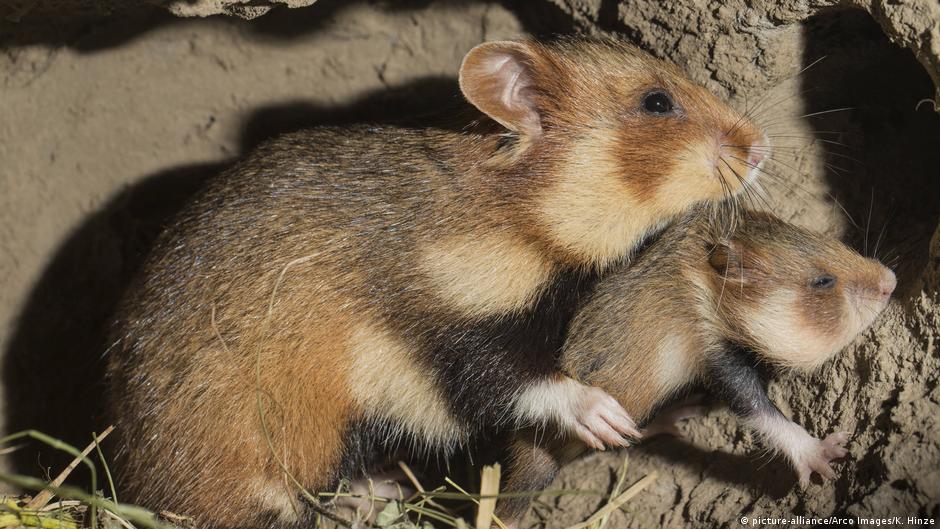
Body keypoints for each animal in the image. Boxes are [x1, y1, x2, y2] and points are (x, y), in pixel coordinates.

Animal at [106, 38, 766, 529]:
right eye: (656, 103)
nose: (761, 147)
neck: (518, 217)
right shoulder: (453, 323)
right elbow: (520, 384)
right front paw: (606, 415)